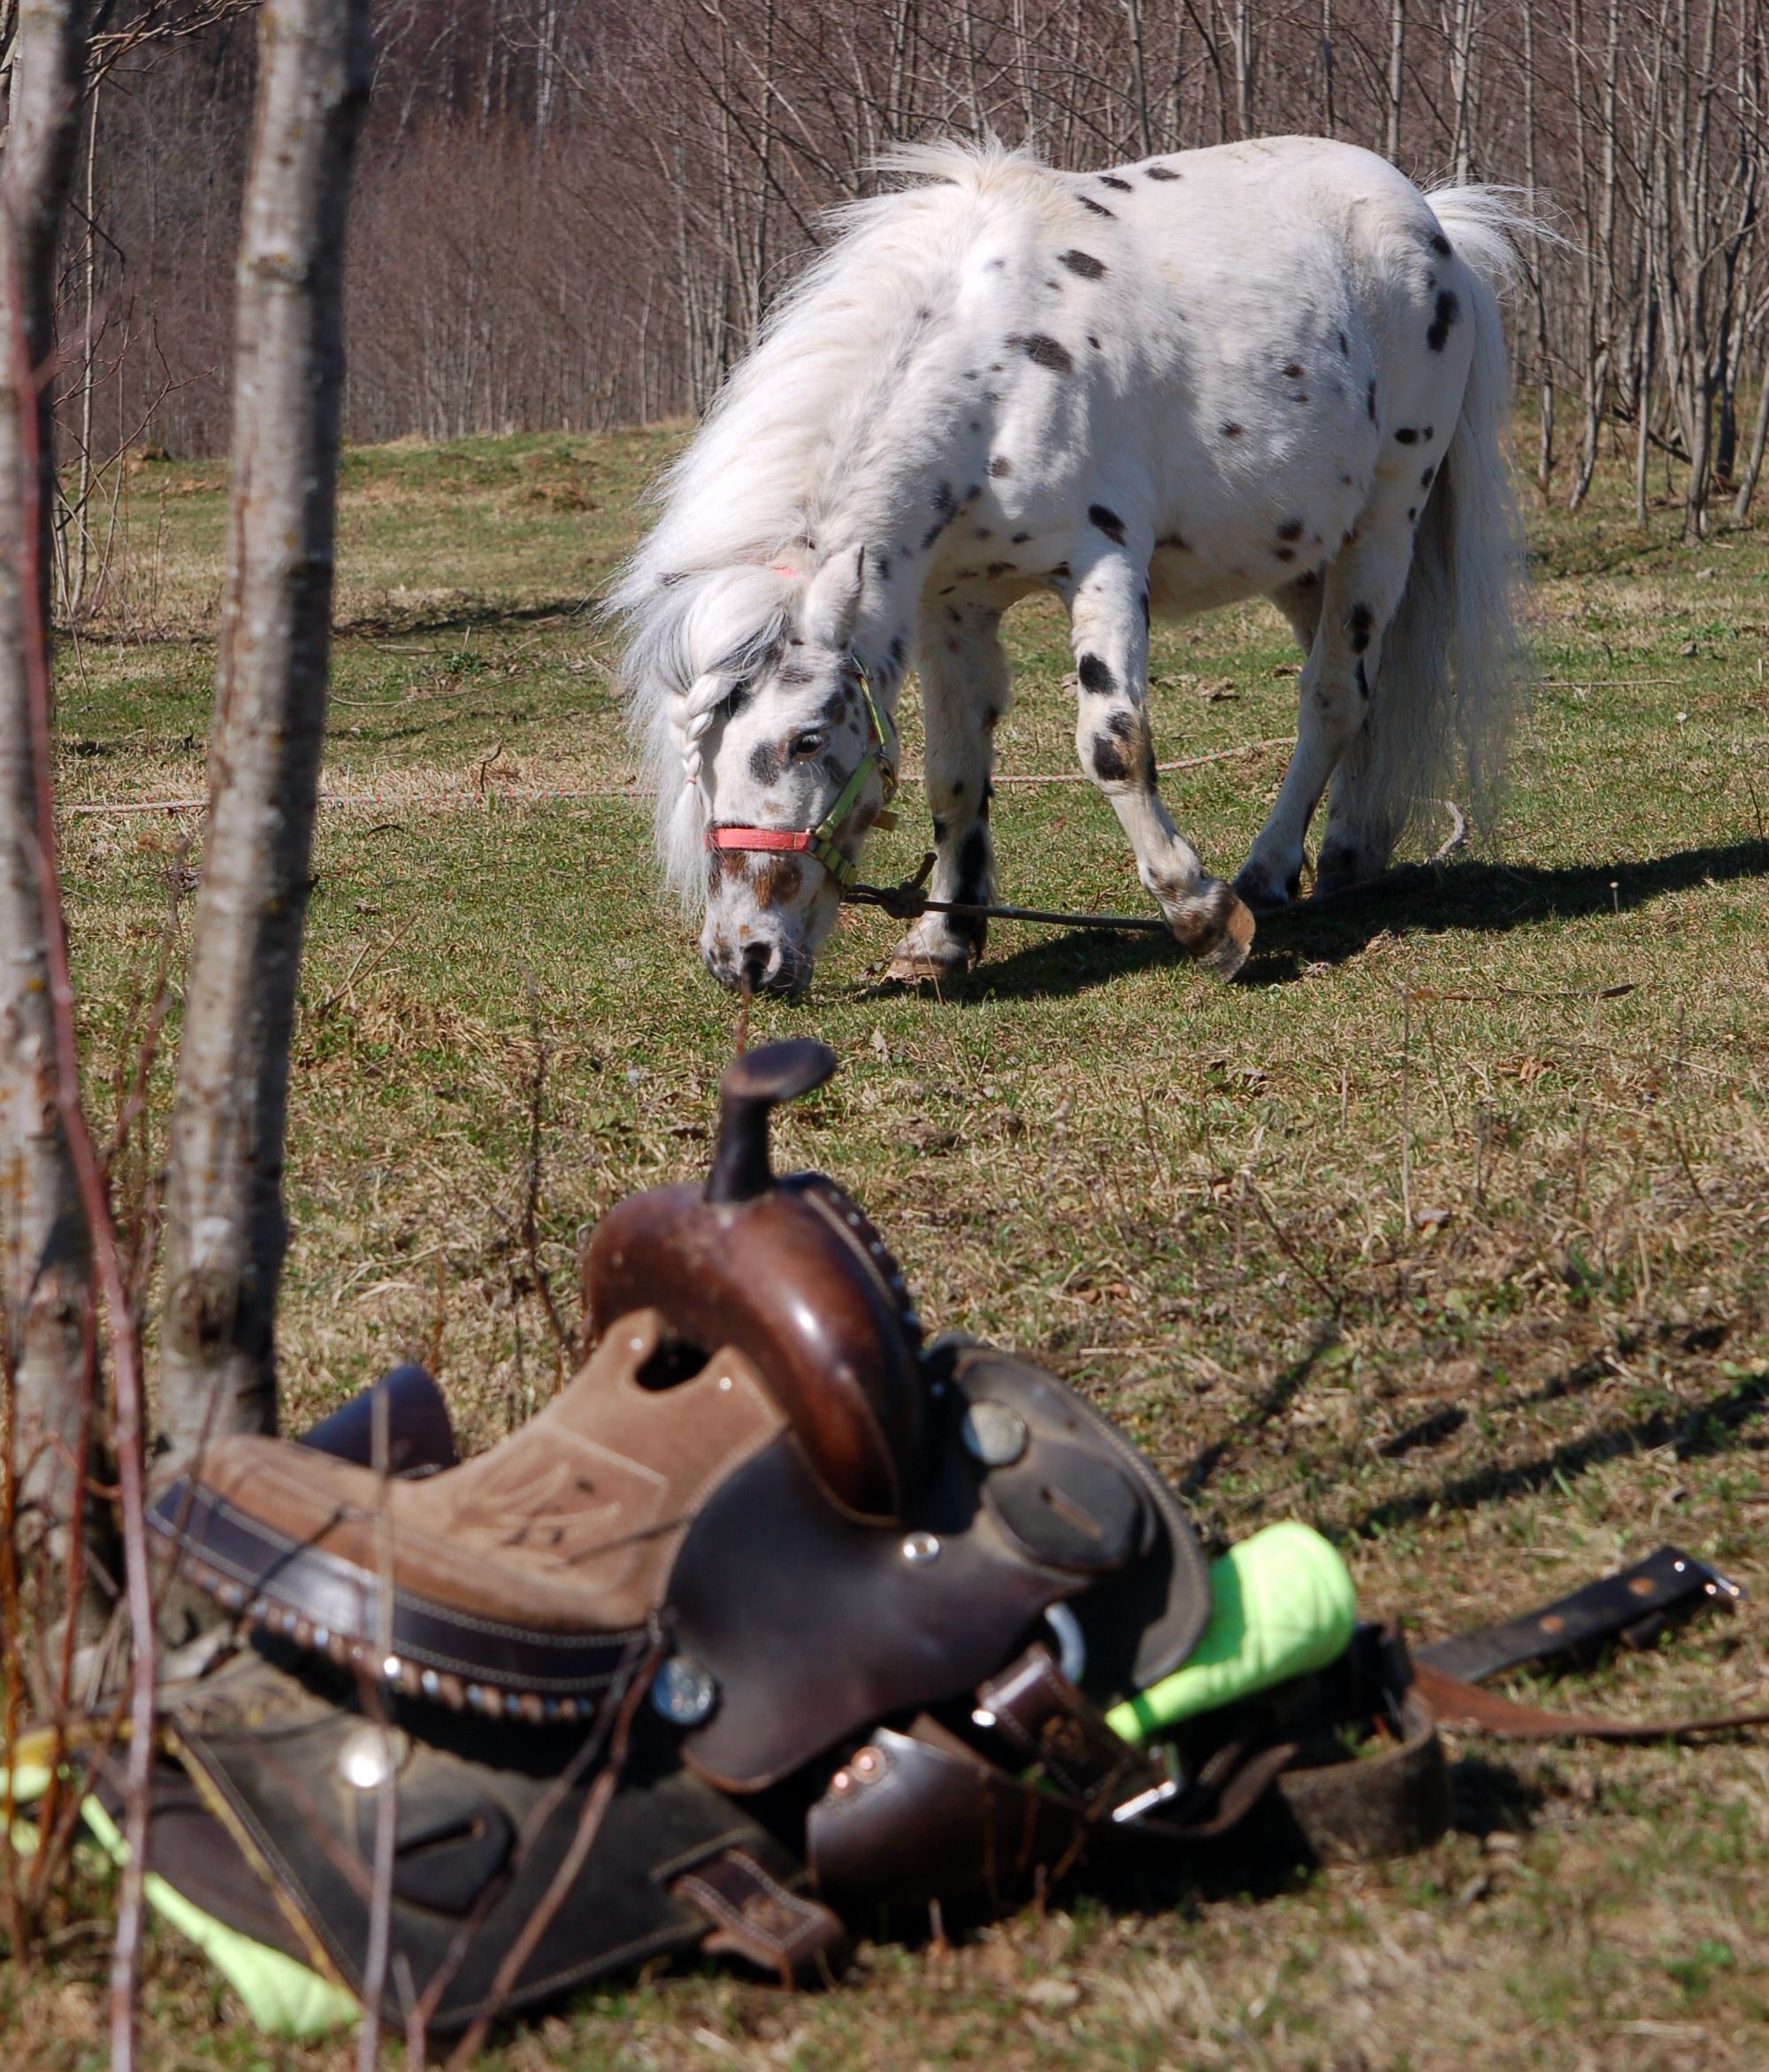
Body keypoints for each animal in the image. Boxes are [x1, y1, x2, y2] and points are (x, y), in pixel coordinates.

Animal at [611, 137, 1528, 997]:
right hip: (1304, 558)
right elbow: (954, 770)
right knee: (1366, 693)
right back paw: (1348, 853)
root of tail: (1434, 223)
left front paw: (1200, 916)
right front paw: (941, 941)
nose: (744, 959)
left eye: (804, 741)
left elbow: (1113, 742)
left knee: (1336, 696)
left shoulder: (1104, 565)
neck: (991, 377)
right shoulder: (951, 605)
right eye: (696, 759)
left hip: (1385, 520)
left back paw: (1268, 875)